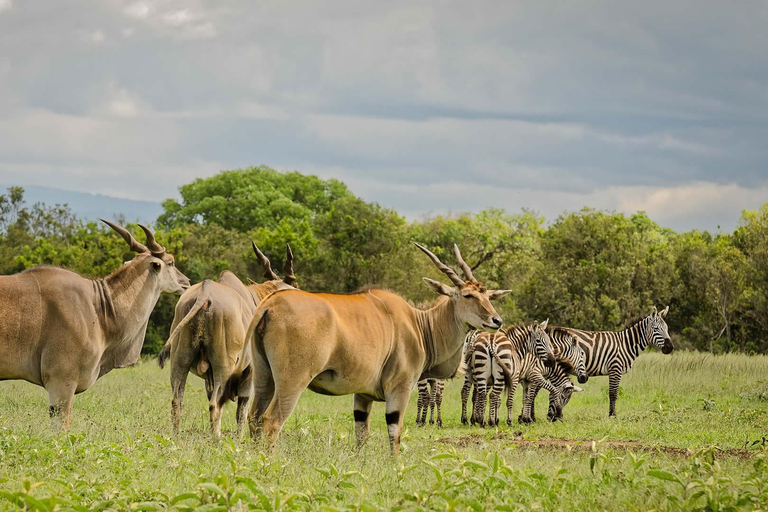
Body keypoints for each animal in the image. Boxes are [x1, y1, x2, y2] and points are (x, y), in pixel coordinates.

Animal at [528, 304, 672, 416]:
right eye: (656, 329)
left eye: (667, 328)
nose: (670, 348)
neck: (625, 344)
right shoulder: (615, 368)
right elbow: (613, 394)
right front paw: (612, 415)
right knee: (534, 389)